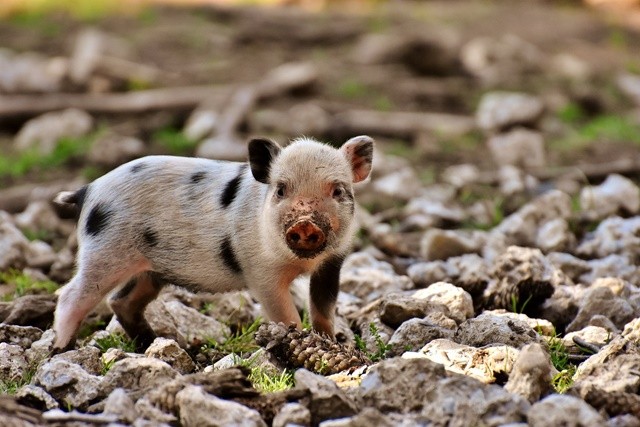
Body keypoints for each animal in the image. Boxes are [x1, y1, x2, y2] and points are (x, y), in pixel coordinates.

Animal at [51, 135, 374, 351]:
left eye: (338, 190)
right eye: (281, 190)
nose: (305, 223)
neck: (302, 262)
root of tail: (89, 189)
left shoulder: (333, 263)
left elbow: (323, 309)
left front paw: (331, 343)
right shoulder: (261, 272)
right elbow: (286, 314)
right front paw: (296, 340)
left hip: (149, 270)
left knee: (121, 301)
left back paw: (155, 343)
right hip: (103, 252)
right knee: (70, 295)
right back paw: (62, 349)